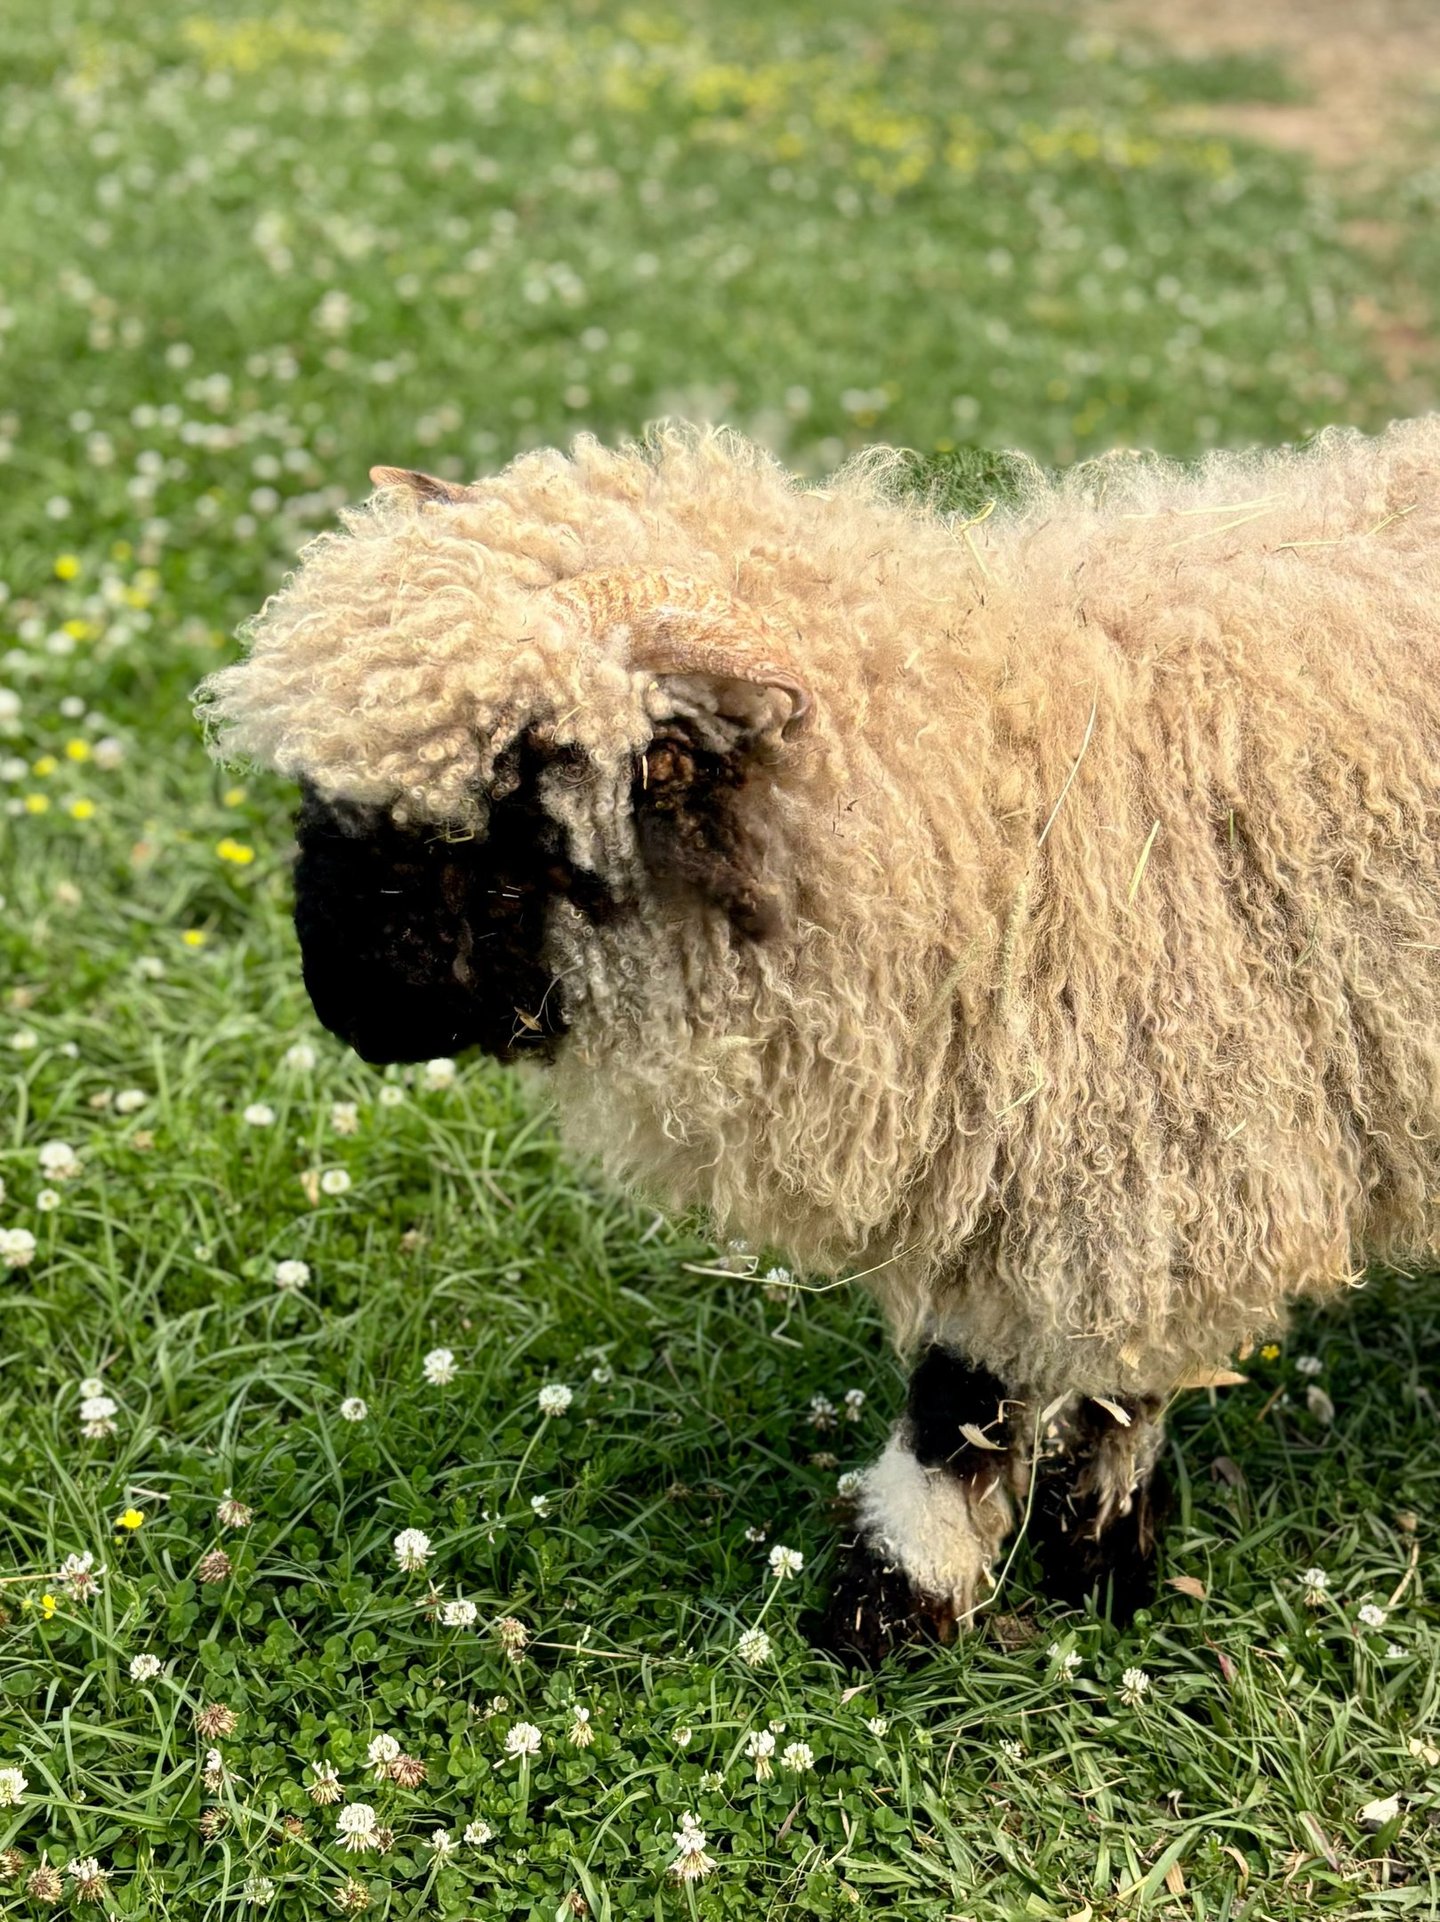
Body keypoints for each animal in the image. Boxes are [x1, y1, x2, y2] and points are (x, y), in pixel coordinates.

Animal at [199, 419, 1440, 1659]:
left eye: (517, 824)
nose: (343, 1009)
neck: (982, 804)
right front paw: (915, 1589)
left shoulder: (1153, 1151)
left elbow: (1023, 1392)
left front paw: (1029, 1574)